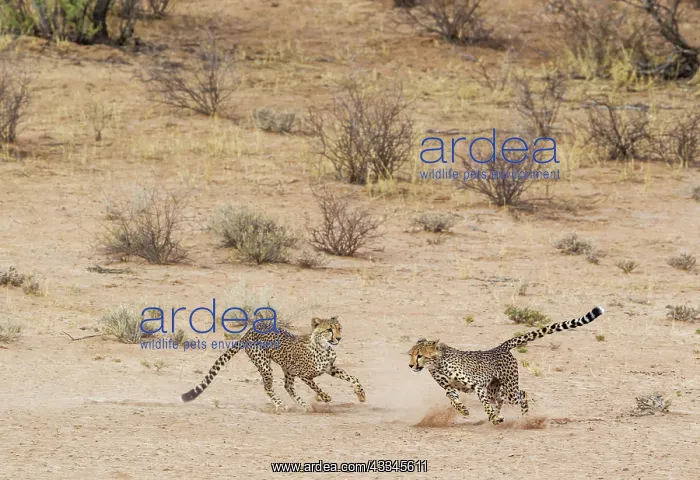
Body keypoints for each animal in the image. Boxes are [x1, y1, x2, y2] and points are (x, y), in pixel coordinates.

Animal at [180, 316, 366, 411]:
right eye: (329, 330)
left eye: (339, 328)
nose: (339, 338)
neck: (324, 347)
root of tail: (249, 331)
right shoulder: (304, 375)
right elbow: (317, 387)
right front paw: (325, 397)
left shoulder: (330, 368)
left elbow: (353, 378)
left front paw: (361, 395)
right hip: (265, 365)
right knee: (268, 387)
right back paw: (280, 404)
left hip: (287, 369)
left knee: (288, 387)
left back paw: (304, 405)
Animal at [408, 306, 605, 425]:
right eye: (411, 354)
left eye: (420, 356)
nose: (410, 366)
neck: (438, 363)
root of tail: (501, 346)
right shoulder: (450, 388)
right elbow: (453, 400)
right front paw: (464, 410)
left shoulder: (478, 386)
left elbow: (485, 405)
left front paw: (492, 417)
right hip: (494, 388)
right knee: (501, 399)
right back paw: (502, 416)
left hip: (508, 388)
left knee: (522, 394)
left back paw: (525, 418)